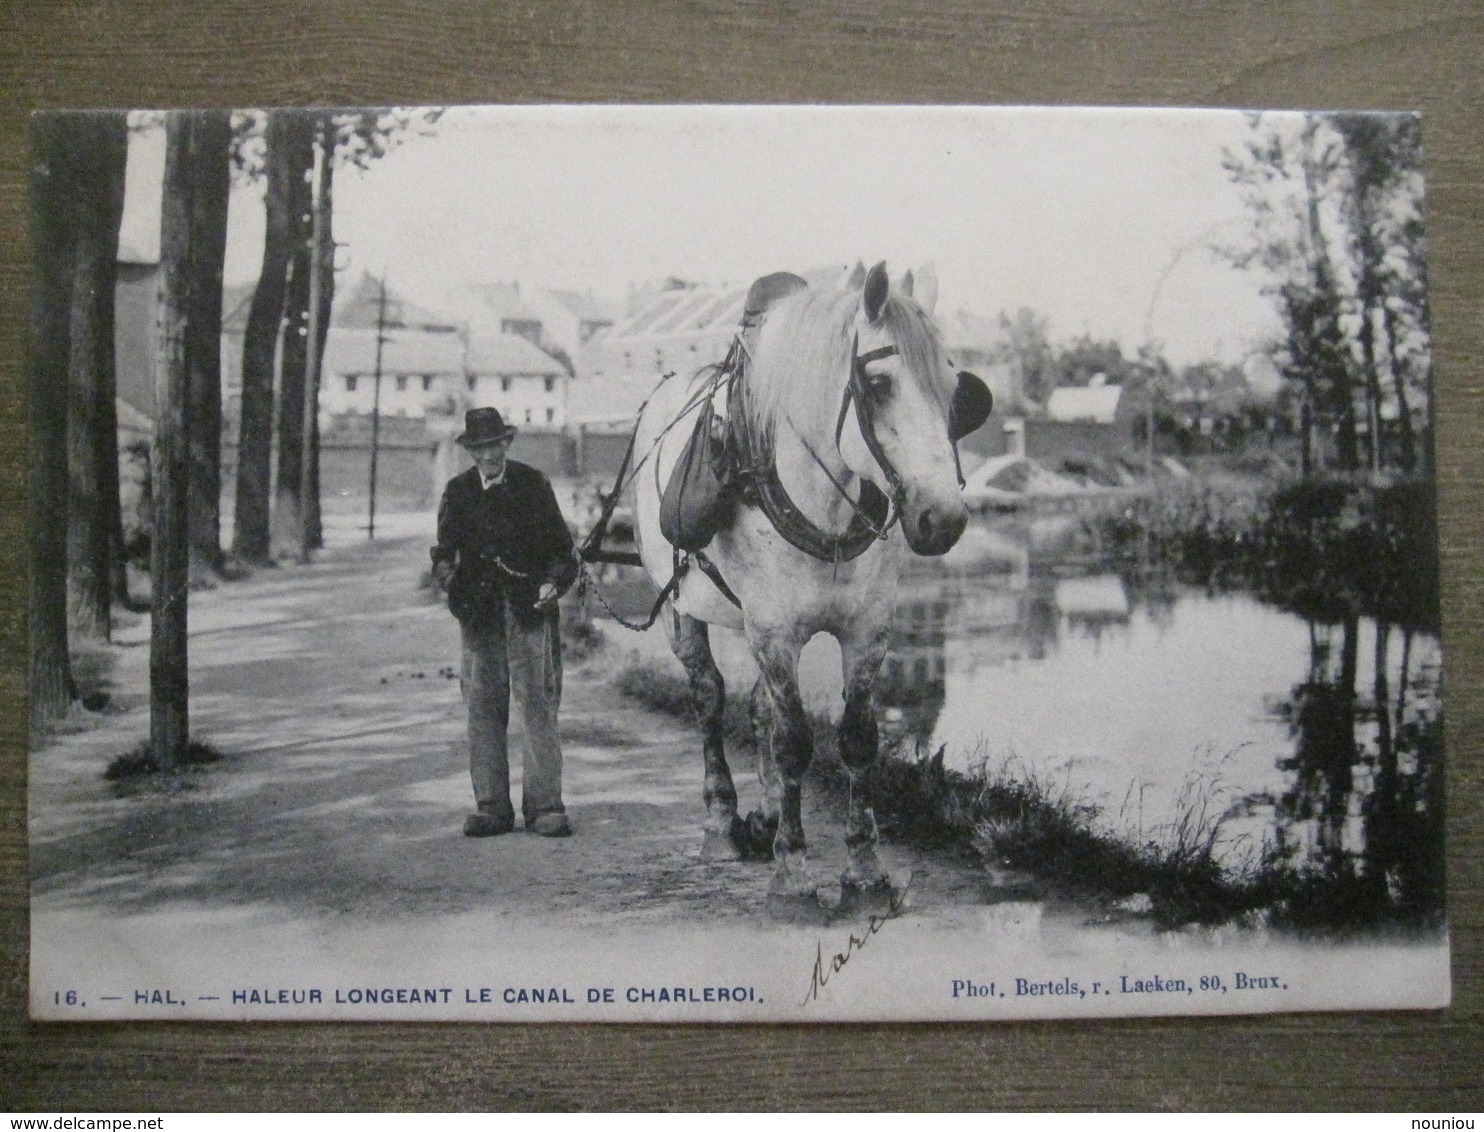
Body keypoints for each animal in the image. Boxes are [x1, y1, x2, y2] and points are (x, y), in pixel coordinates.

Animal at [632, 261, 991, 913]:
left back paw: (769, 815)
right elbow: (795, 741)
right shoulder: (774, 631)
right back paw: (722, 823)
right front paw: (793, 872)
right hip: (681, 610)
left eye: (956, 393)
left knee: (759, 712)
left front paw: (864, 870)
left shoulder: (867, 631)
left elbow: (855, 739)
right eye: (878, 383)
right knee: (709, 699)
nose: (944, 519)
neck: (825, 509)